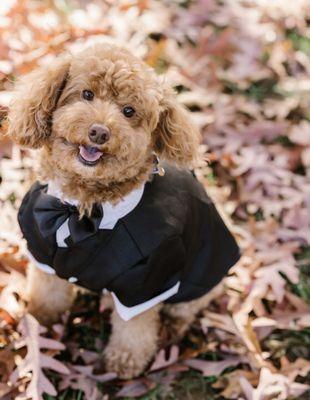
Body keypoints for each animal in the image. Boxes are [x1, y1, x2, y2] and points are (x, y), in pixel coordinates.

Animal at [7, 43, 240, 378]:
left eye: (129, 111)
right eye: (87, 94)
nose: (99, 132)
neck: (84, 209)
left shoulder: (144, 282)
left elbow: (134, 331)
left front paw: (124, 363)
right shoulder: (42, 250)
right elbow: (47, 295)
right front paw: (40, 321)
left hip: (201, 277)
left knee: (190, 304)